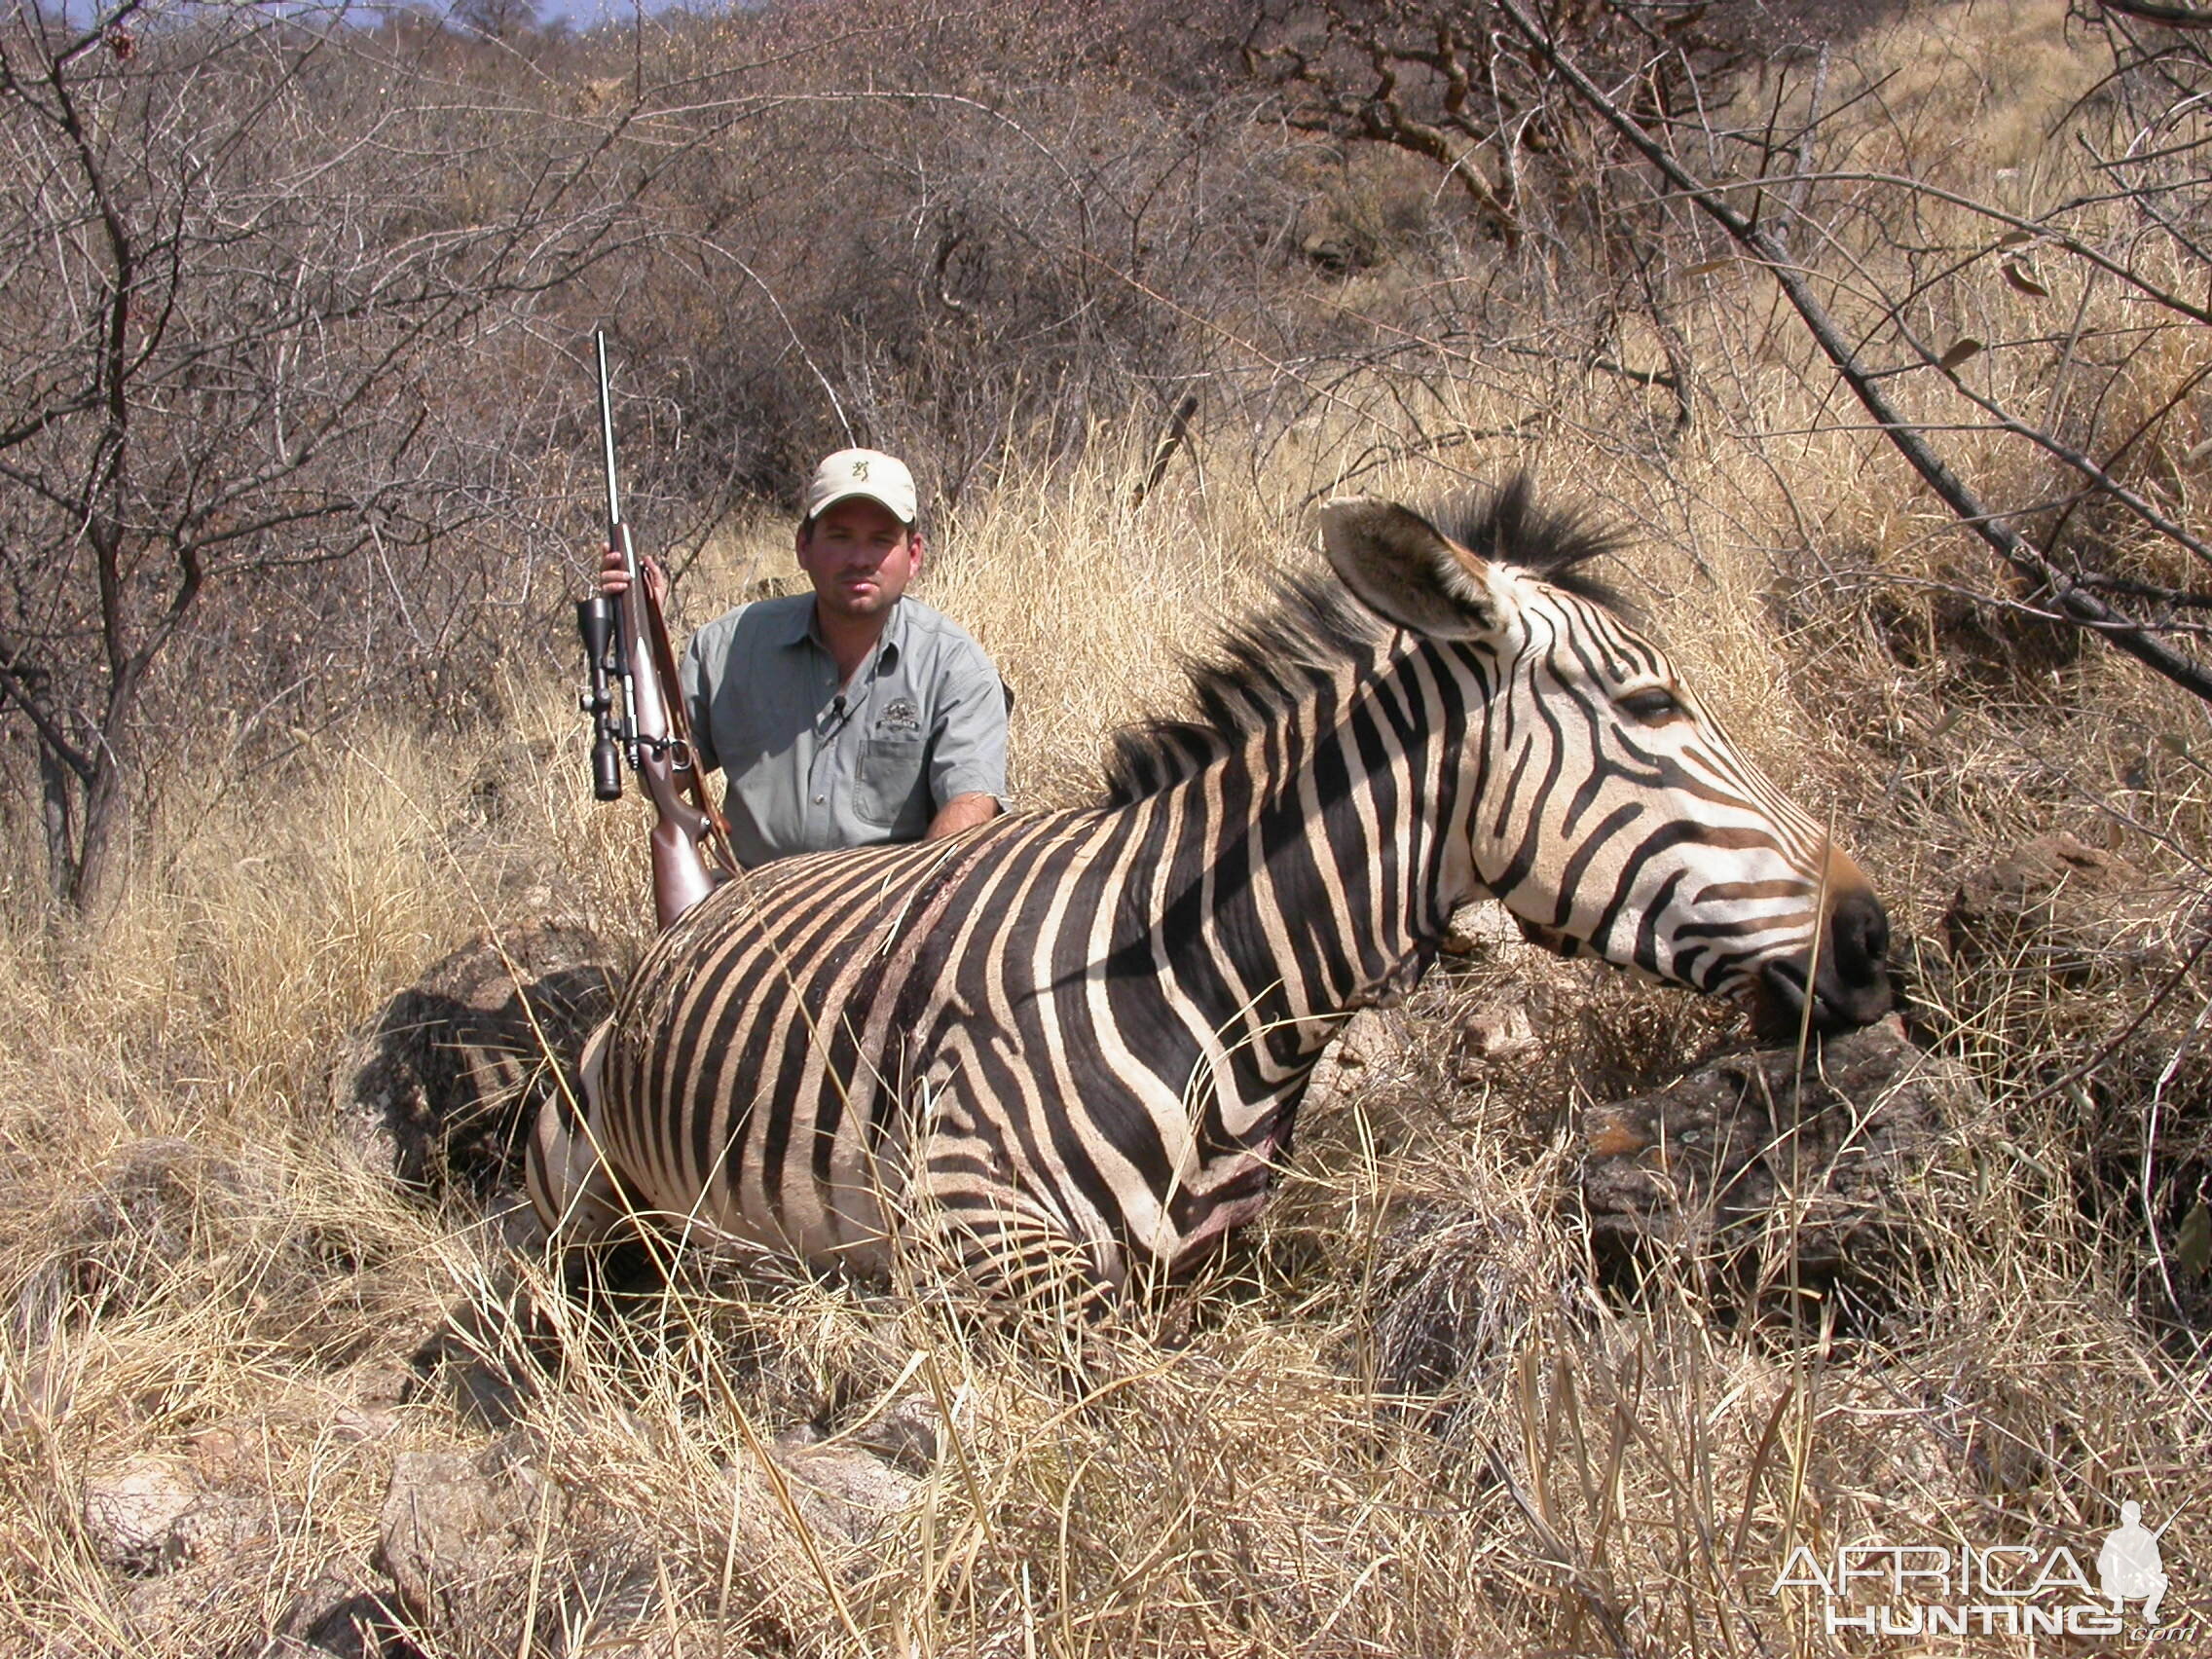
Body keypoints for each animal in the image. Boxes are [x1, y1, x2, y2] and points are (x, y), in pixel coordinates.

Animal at [526, 486, 1893, 1309]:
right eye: (1655, 706)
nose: (1874, 938)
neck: (1213, 983)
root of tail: (677, 932)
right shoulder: (969, 1229)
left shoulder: (1208, 1272)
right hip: (577, 1176)